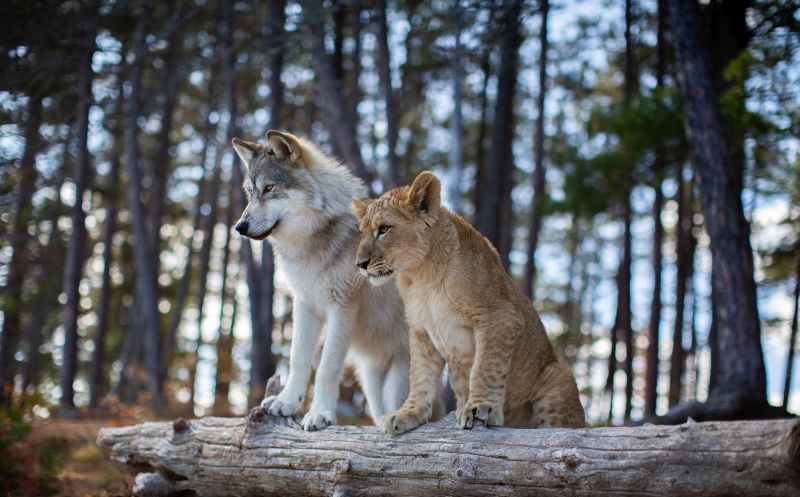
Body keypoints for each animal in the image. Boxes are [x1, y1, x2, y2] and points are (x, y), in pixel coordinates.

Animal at [232, 130, 411, 431]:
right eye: (249, 193)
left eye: (269, 188)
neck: (309, 246)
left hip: (398, 384)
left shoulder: (342, 307)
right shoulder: (305, 305)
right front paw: (286, 402)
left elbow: (327, 367)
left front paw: (320, 413)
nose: (239, 227)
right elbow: (298, 358)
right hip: (374, 389)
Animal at [352, 171, 585, 434]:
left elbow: (485, 367)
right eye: (362, 232)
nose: (360, 264)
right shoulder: (421, 331)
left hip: (559, 374)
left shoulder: (500, 317)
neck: (421, 275)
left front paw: (480, 408)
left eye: (383, 229)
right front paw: (407, 413)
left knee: (561, 428)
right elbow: (420, 377)